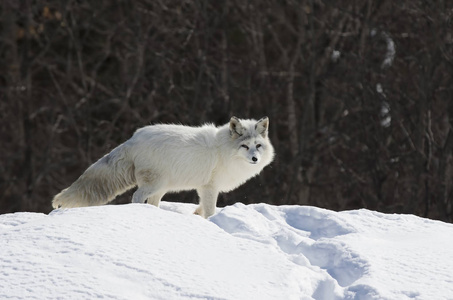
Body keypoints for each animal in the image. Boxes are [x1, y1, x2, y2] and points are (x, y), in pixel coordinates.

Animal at [51, 116, 274, 217]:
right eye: (244, 146)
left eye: (258, 146)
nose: (255, 158)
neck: (224, 151)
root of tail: (133, 139)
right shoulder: (209, 187)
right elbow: (210, 210)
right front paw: (212, 222)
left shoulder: (207, 189)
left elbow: (201, 207)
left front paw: (196, 216)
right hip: (154, 185)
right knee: (136, 197)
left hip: (161, 188)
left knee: (152, 202)